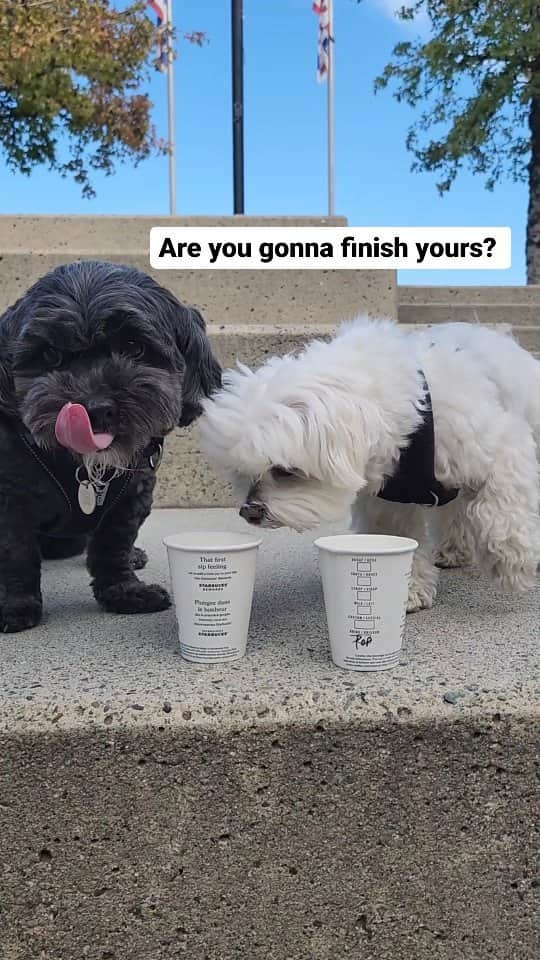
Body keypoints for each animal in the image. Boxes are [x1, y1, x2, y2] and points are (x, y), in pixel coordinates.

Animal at [0, 258, 221, 632]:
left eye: (134, 347)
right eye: (50, 355)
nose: (96, 408)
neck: (87, 467)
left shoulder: (131, 496)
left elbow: (112, 546)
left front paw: (124, 591)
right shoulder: (11, 500)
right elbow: (16, 554)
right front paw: (14, 605)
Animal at [199, 318, 540, 612]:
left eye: (285, 470)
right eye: (241, 473)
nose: (249, 511)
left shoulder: (500, 448)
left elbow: (503, 512)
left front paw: (514, 564)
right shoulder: (388, 502)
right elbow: (400, 538)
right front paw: (409, 590)